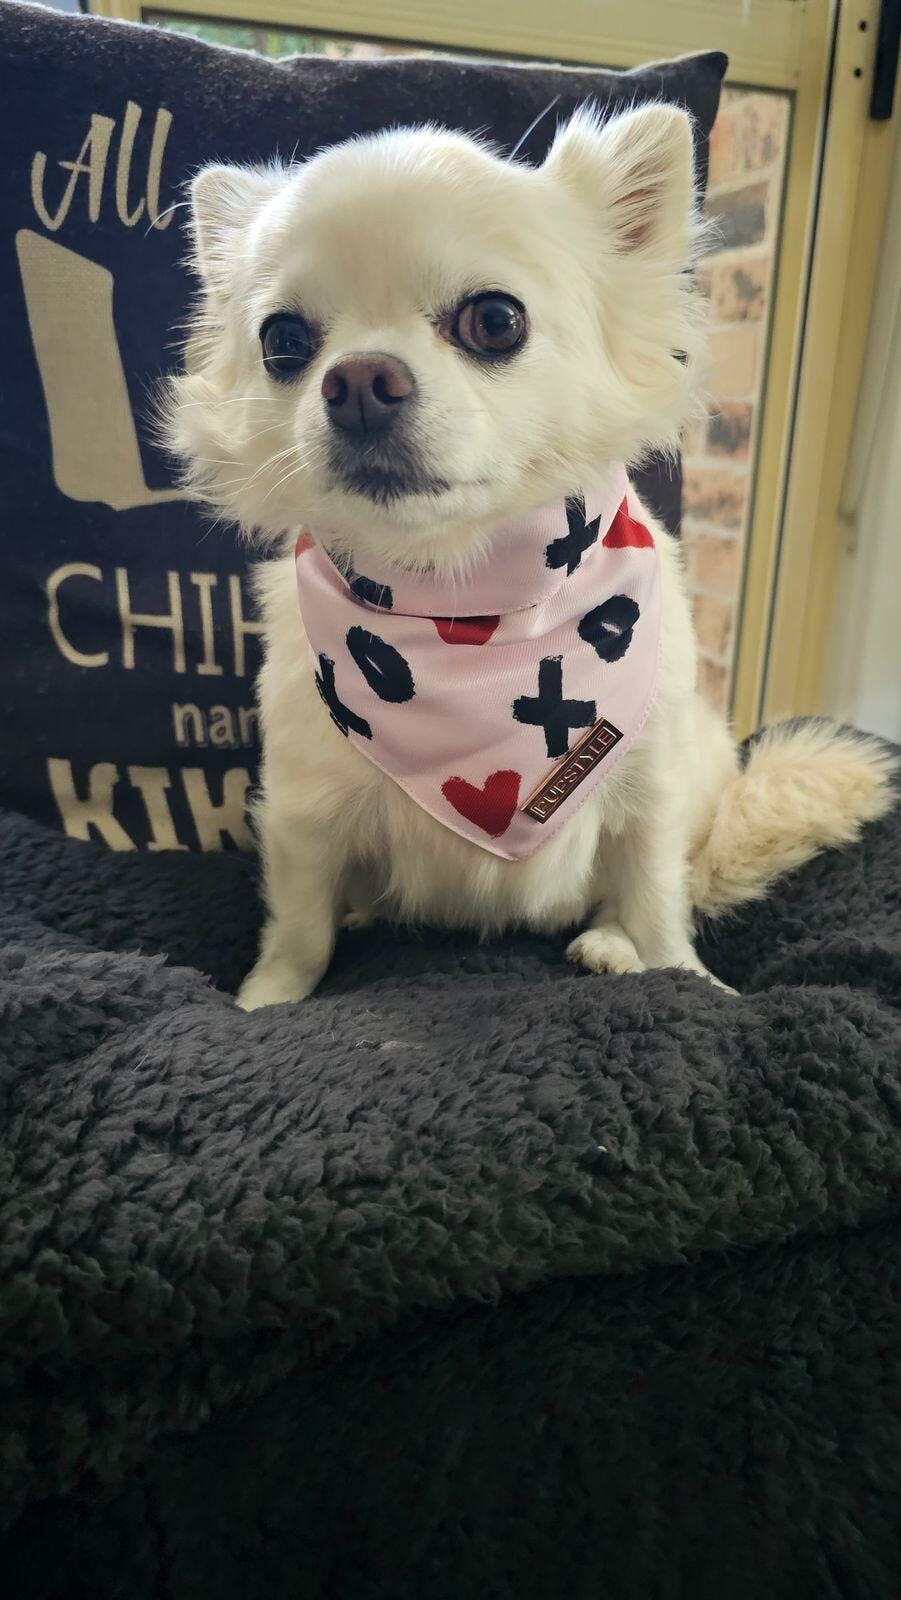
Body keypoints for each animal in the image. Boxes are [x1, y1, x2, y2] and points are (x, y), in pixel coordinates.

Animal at [164, 104, 895, 1009]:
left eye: (494, 321)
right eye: (284, 341)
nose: (359, 380)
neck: (466, 602)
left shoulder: (648, 794)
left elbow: (655, 896)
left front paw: (685, 976)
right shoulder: (303, 809)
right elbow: (299, 924)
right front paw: (267, 1000)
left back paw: (610, 946)